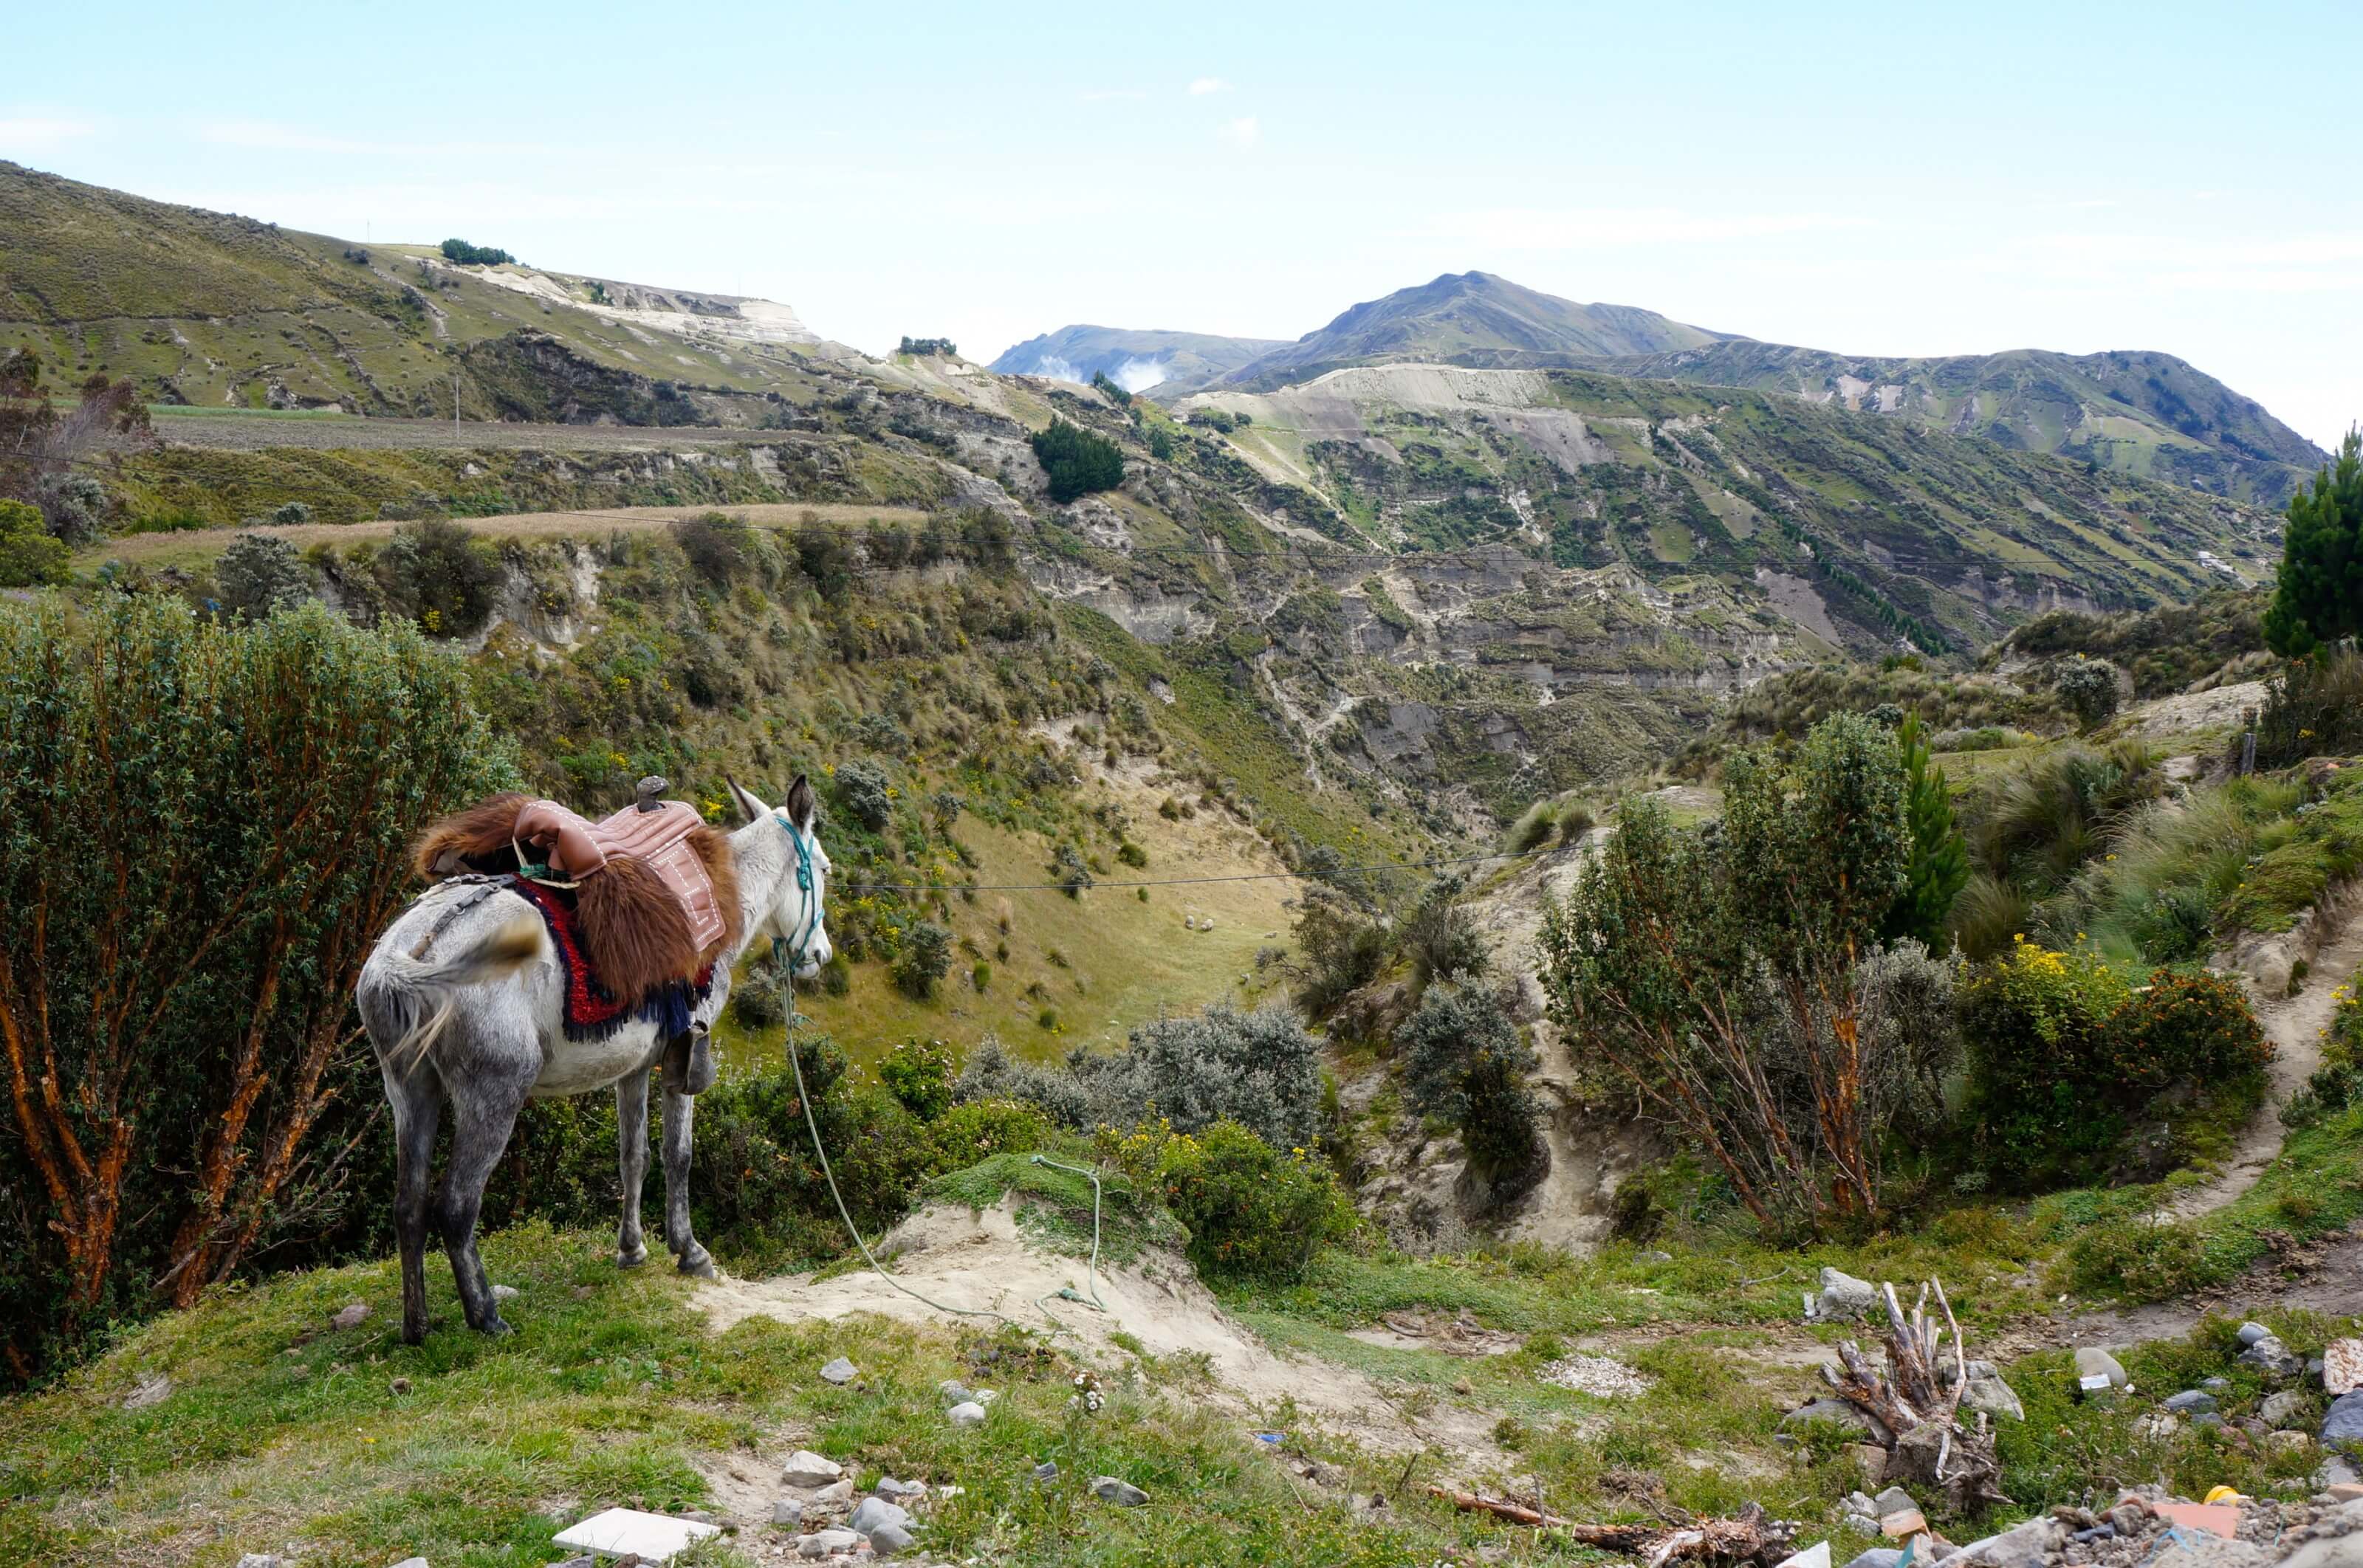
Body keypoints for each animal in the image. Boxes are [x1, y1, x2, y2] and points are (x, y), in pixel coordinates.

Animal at [349, 769, 831, 1332]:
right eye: (824, 868)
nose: (819, 955)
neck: (723, 893)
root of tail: (412, 952)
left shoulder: (635, 1067)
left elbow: (633, 1157)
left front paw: (632, 1251)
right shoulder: (686, 1053)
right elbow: (679, 1154)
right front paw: (690, 1253)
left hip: (410, 1090)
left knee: (408, 1204)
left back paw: (417, 1327)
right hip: (492, 1094)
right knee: (456, 1206)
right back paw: (487, 1317)